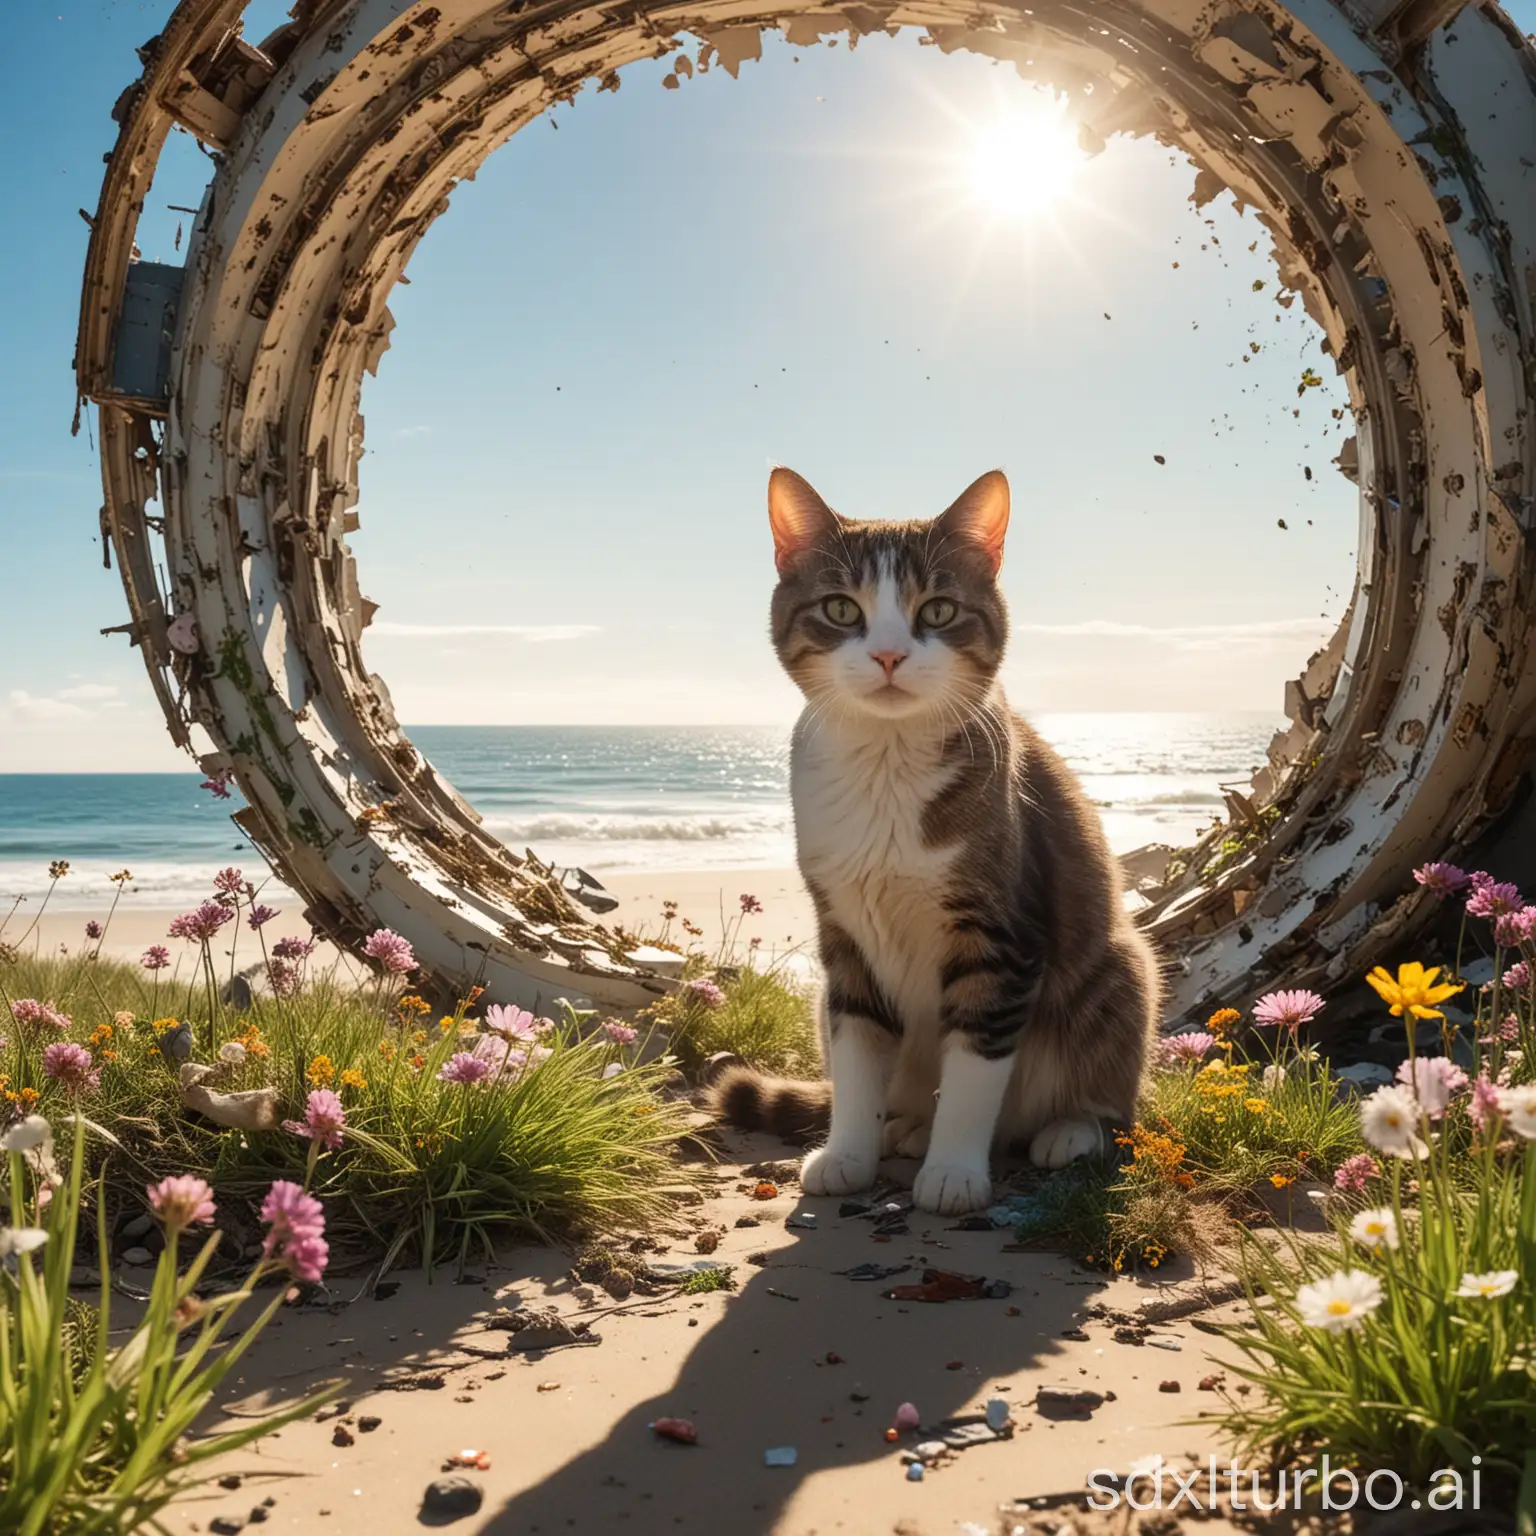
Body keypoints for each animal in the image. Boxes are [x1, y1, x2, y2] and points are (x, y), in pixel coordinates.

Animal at [709, 463, 1161, 1210]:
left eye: (939, 612)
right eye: (842, 610)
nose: (890, 654)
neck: (886, 767)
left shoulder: (1000, 936)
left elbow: (977, 1068)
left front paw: (953, 1172)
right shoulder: (845, 936)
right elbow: (857, 1054)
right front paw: (848, 1153)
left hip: (1118, 971)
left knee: (1100, 1096)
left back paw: (1067, 1130)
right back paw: (907, 1128)